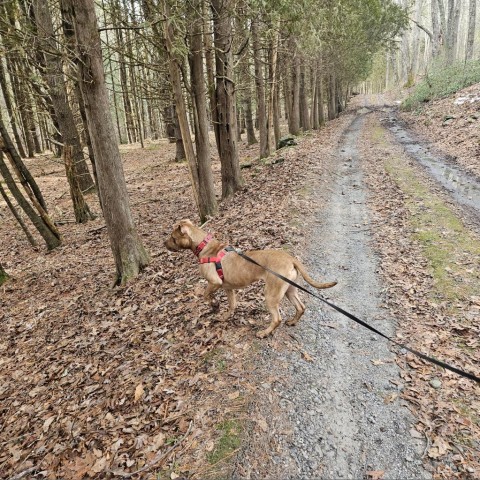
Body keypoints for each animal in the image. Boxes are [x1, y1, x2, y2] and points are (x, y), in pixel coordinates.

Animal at [165, 218, 338, 338]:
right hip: (290, 289)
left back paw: (264, 333)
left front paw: (214, 304)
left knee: (277, 318)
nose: (164, 243)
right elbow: (231, 305)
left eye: (173, 238)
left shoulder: (214, 282)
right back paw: (292, 321)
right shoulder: (228, 288)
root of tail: (290, 259)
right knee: (301, 307)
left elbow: (205, 295)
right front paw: (224, 316)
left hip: (271, 294)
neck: (204, 246)